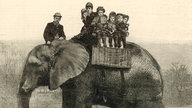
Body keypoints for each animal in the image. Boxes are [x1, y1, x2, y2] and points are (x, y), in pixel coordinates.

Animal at [17, 34, 164, 108]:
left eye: (35, 64)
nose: (24, 88)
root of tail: (158, 67)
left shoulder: (85, 78)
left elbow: (81, 103)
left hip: (147, 88)